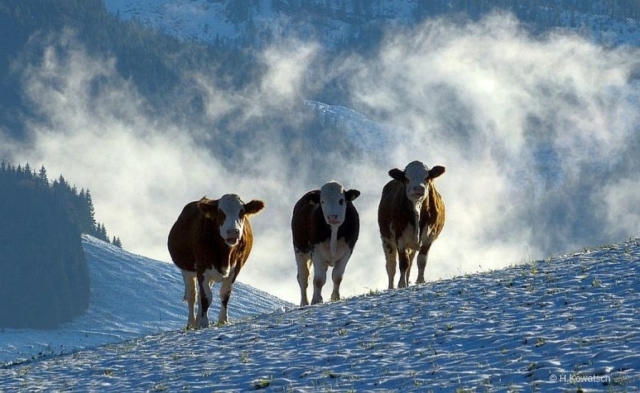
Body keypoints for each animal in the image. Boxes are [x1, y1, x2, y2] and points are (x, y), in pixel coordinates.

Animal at [168, 194, 264, 328]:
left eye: (242, 212)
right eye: (220, 213)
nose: (233, 232)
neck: (224, 256)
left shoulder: (236, 268)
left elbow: (224, 294)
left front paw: (223, 320)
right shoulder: (202, 268)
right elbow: (206, 297)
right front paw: (204, 323)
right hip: (186, 271)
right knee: (192, 296)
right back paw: (191, 324)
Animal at [376, 161, 444, 290]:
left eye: (427, 177)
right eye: (407, 179)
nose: (419, 188)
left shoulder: (429, 236)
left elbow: (422, 260)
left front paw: (420, 281)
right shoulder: (400, 237)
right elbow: (403, 262)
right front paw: (401, 284)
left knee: (411, 263)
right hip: (386, 239)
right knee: (391, 265)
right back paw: (391, 287)